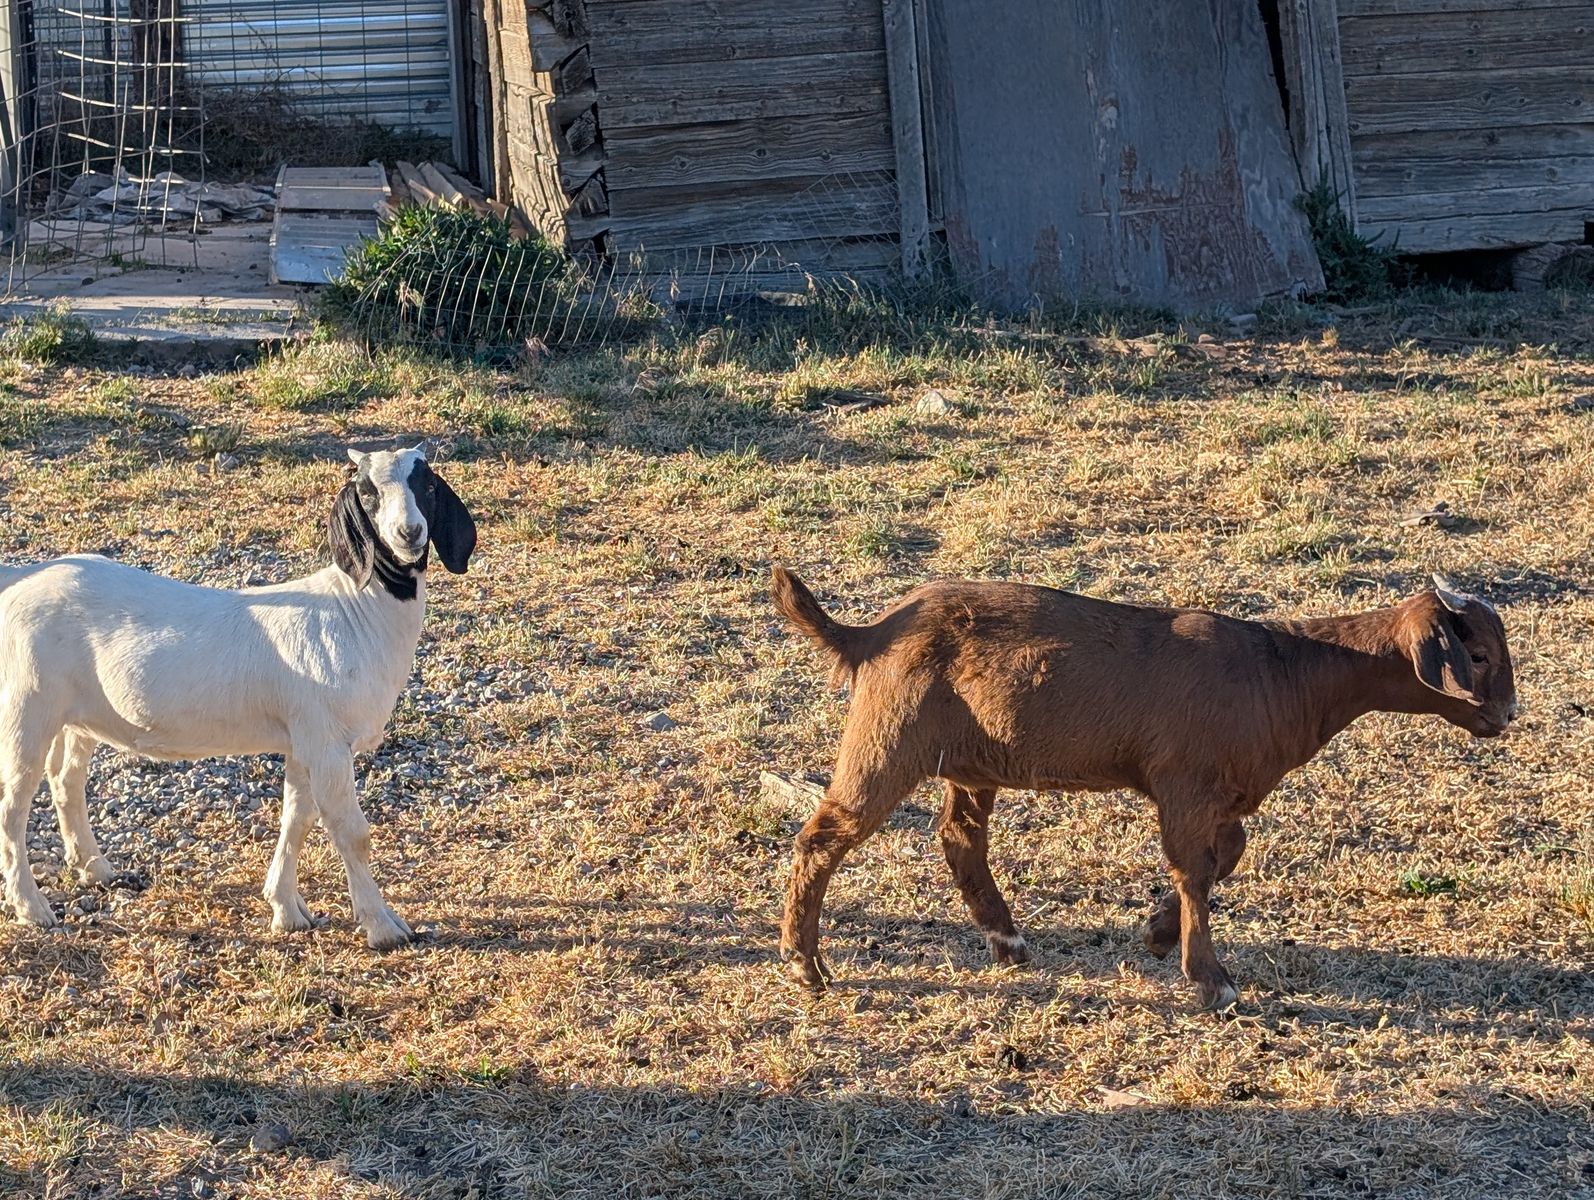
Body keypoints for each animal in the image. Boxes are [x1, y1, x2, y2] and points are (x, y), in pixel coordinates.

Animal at [0, 446, 476, 948]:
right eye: (367, 493)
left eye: (427, 485)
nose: (410, 532)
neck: (357, 610)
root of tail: (21, 578)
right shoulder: (328, 741)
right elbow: (351, 832)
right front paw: (383, 926)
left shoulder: (303, 739)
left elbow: (296, 819)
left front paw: (286, 909)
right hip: (27, 703)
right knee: (13, 803)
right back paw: (31, 907)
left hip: (74, 715)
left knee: (65, 778)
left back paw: (95, 869)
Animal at [771, 569, 1518, 1008]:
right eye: (1477, 655)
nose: (1508, 715)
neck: (1286, 672)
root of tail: (870, 633)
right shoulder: (1184, 785)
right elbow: (1194, 869)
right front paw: (1209, 978)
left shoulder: (1220, 792)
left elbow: (1227, 855)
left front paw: (1159, 933)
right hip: (888, 742)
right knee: (822, 839)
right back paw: (807, 967)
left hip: (972, 762)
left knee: (959, 838)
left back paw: (1007, 941)